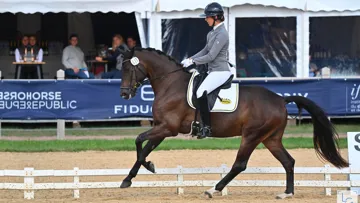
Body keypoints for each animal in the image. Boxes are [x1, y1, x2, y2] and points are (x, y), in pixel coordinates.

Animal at [118, 47, 348, 198]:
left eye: (128, 69)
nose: (124, 94)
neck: (170, 83)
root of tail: (280, 99)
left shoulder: (168, 128)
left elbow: (138, 141)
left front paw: (144, 169)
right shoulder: (162, 128)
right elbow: (144, 149)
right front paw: (132, 176)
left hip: (252, 135)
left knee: (240, 164)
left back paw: (214, 189)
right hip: (270, 138)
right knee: (288, 161)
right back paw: (287, 193)